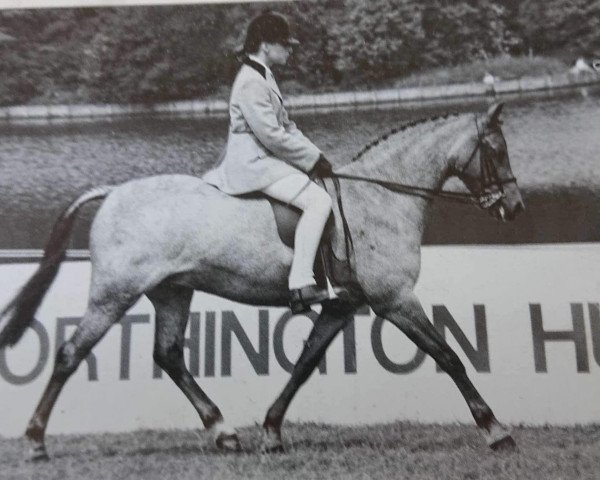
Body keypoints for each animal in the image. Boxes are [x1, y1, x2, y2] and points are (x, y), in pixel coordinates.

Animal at [0, 102, 524, 458]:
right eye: (496, 150)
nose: (515, 209)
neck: (381, 199)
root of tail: (112, 193)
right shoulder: (394, 300)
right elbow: (448, 356)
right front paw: (495, 430)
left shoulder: (341, 305)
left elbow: (305, 363)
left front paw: (271, 431)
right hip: (114, 295)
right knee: (70, 354)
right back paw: (36, 440)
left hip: (173, 291)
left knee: (168, 355)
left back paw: (223, 431)